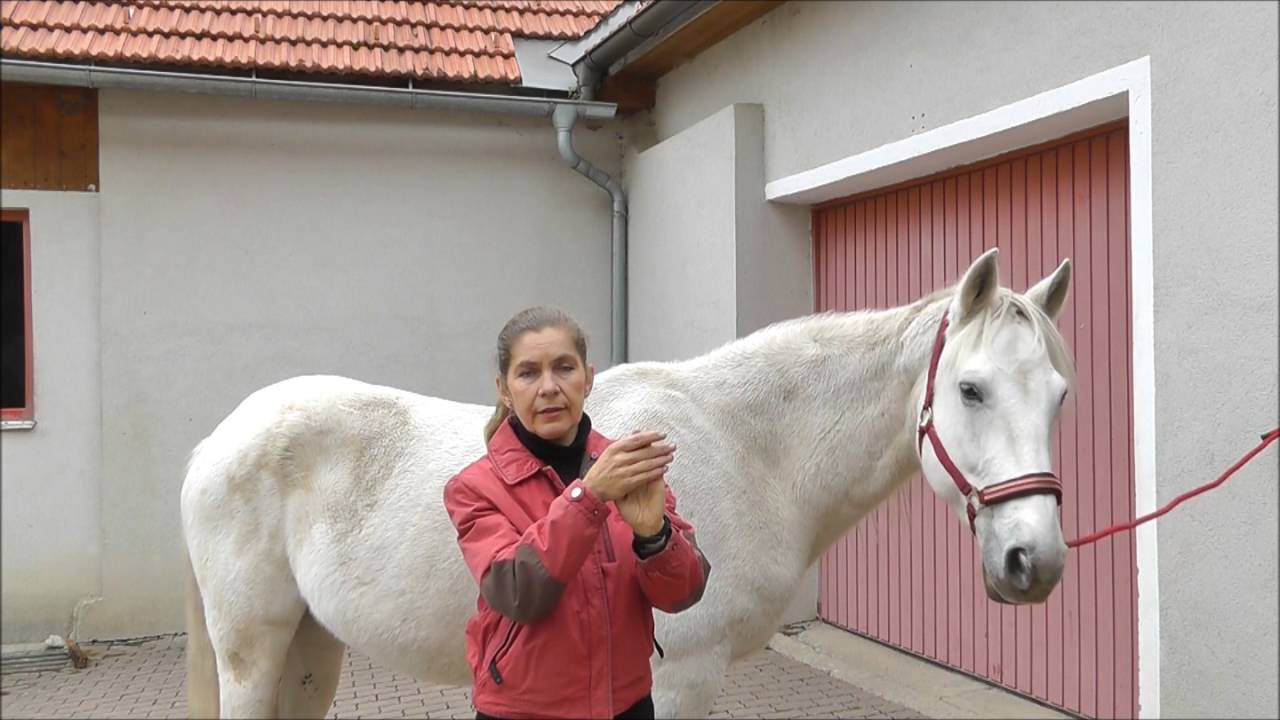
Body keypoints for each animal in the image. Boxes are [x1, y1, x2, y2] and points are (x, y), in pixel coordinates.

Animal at [180, 247, 1075, 719]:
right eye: (971, 390)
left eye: (1060, 395)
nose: (1034, 561)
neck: (749, 446)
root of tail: (213, 444)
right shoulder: (683, 675)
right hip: (252, 651)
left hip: (311, 646)